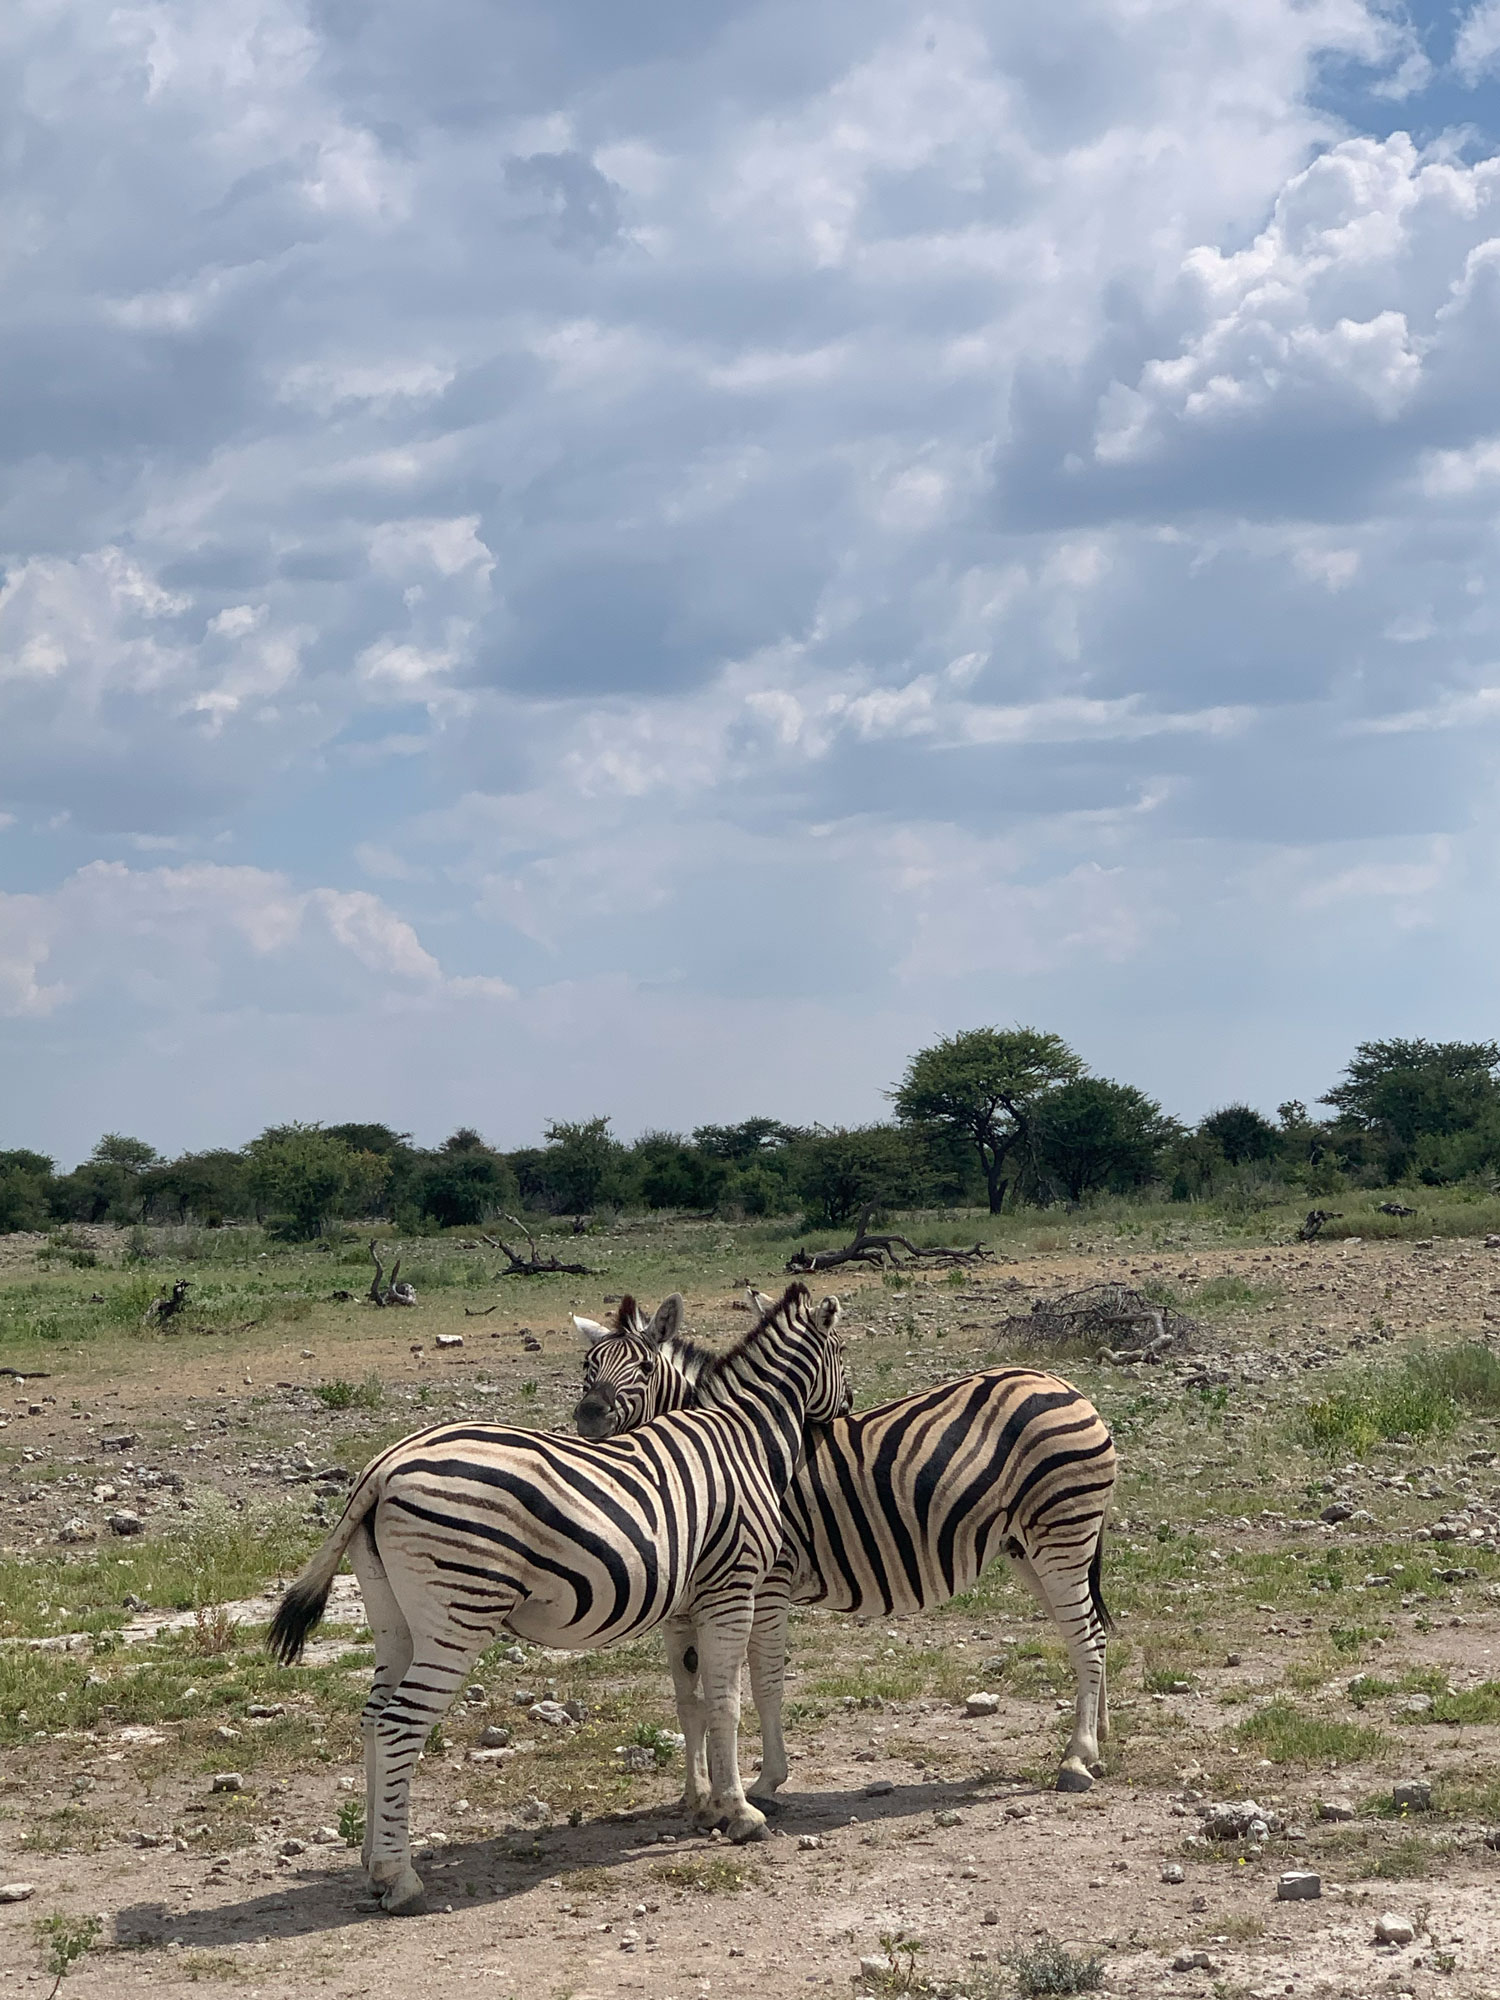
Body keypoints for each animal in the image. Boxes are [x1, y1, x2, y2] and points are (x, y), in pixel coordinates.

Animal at [270, 1272, 852, 1912]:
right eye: (843, 1352)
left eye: (641, 1367)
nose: (849, 1406)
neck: (742, 1436)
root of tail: (384, 1465)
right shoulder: (734, 1586)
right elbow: (727, 1700)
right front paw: (743, 1812)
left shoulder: (683, 1605)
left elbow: (692, 1701)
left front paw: (705, 1806)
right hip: (457, 1616)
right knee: (401, 1723)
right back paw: (398, 1879)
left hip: (392, 1619)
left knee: (375, 1718)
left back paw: (373, 1862)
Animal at [576, 1296, 1120, 1800]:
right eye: (586, 1368)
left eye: (646, 1368)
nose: (588, 1416)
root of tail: (1064, 1385)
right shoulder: (686, 1605)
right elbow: (688, 1698)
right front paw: (699, 1796)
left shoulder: (766, 1584)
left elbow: (764, 1682)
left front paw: (765, 1783)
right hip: (1026, 1546)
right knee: (1085, 1630)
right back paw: (1096, 1739)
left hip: (1061, 1533)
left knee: (1088, 1634)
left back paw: (1076, 1758)